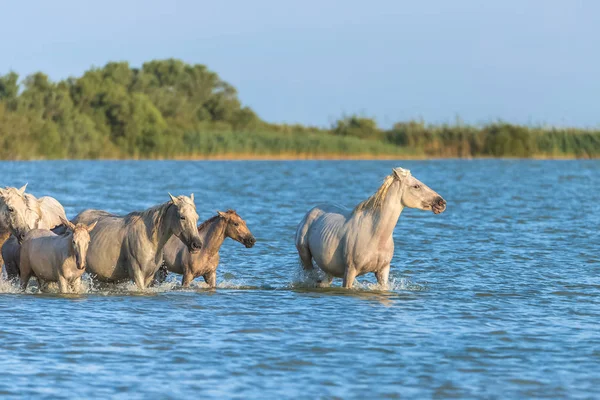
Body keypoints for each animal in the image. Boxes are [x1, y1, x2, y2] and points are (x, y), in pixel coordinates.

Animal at [73, 193, 203, 288]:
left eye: (196, 217)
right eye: (182, 217)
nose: (197, 244)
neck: (150, 240)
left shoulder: (149, 276)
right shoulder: (137, 274)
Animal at [296, 167, 446, 290]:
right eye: (416, 186)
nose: (441, 203)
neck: (375, 233)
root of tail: (311, 212)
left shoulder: (383, 271)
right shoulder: (350, 271)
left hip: (329, 269)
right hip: (305, 256)